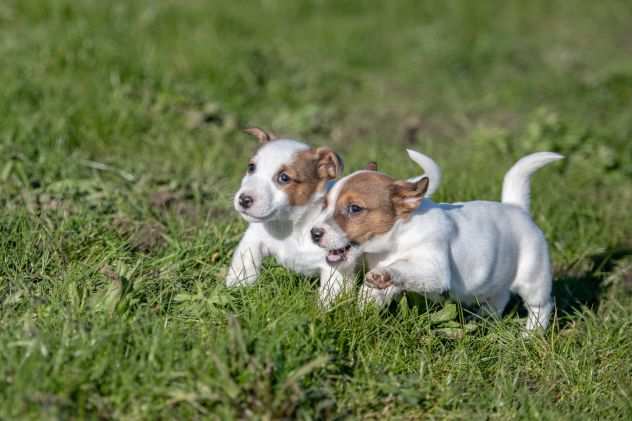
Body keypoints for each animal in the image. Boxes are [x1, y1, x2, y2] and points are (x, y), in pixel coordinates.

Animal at [226, 128, 440, 306]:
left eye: (284, 178)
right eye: (251, 167)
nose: (244, 199)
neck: (292, 225)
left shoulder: (335, 267)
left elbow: (329, 295)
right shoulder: (254, 238)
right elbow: (244, 264)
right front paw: (236, 289)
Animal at [312, 149, 564, 330]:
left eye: (354, 209)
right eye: (325, 204)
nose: (314, 233)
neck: (397, 239)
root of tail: (516, 207)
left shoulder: (433, 268)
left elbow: (401, 267)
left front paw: (384, 274)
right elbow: (373, 292)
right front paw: (362, 309)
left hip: (533, 277)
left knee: (541, 306)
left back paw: (530, 335)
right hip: (494, 280)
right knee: (498, 298)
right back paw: (482, 320)